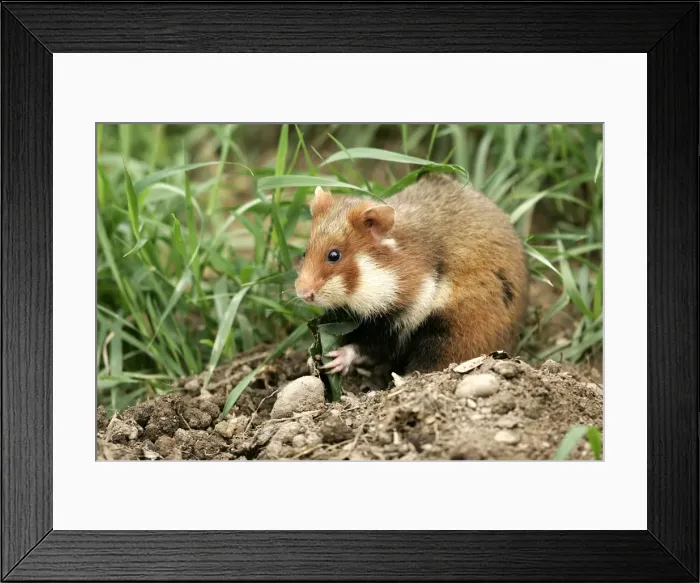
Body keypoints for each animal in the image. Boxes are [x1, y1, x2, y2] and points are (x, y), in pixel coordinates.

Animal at [294, 172, 529, 377]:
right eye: (305, 252)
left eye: (334, 255)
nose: (303, 294)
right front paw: (312, 358)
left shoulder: (405, 315)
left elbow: (370, 347)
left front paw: (336, 360)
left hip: (455, 330)